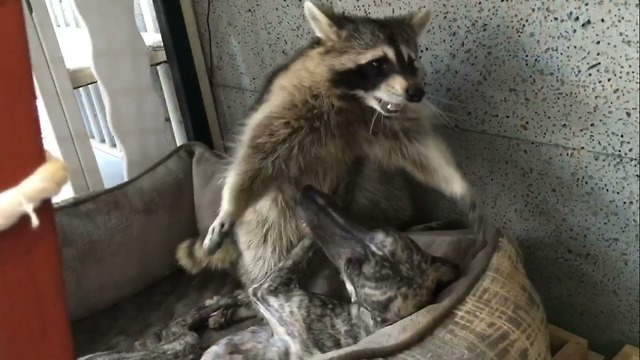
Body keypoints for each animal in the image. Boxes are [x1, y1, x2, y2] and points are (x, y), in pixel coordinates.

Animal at [178, 0, 482, 286]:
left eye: (410, 62)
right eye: (378, 64)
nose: (417, 93)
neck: (356, 99)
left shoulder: (386, 123)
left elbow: (420, 151)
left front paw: (457, 184)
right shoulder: (291, 102)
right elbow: (257, 155)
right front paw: (229, 207)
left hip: (365, 188)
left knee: (379, 187)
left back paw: (404, 225)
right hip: (273, 213)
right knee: (270, 240)